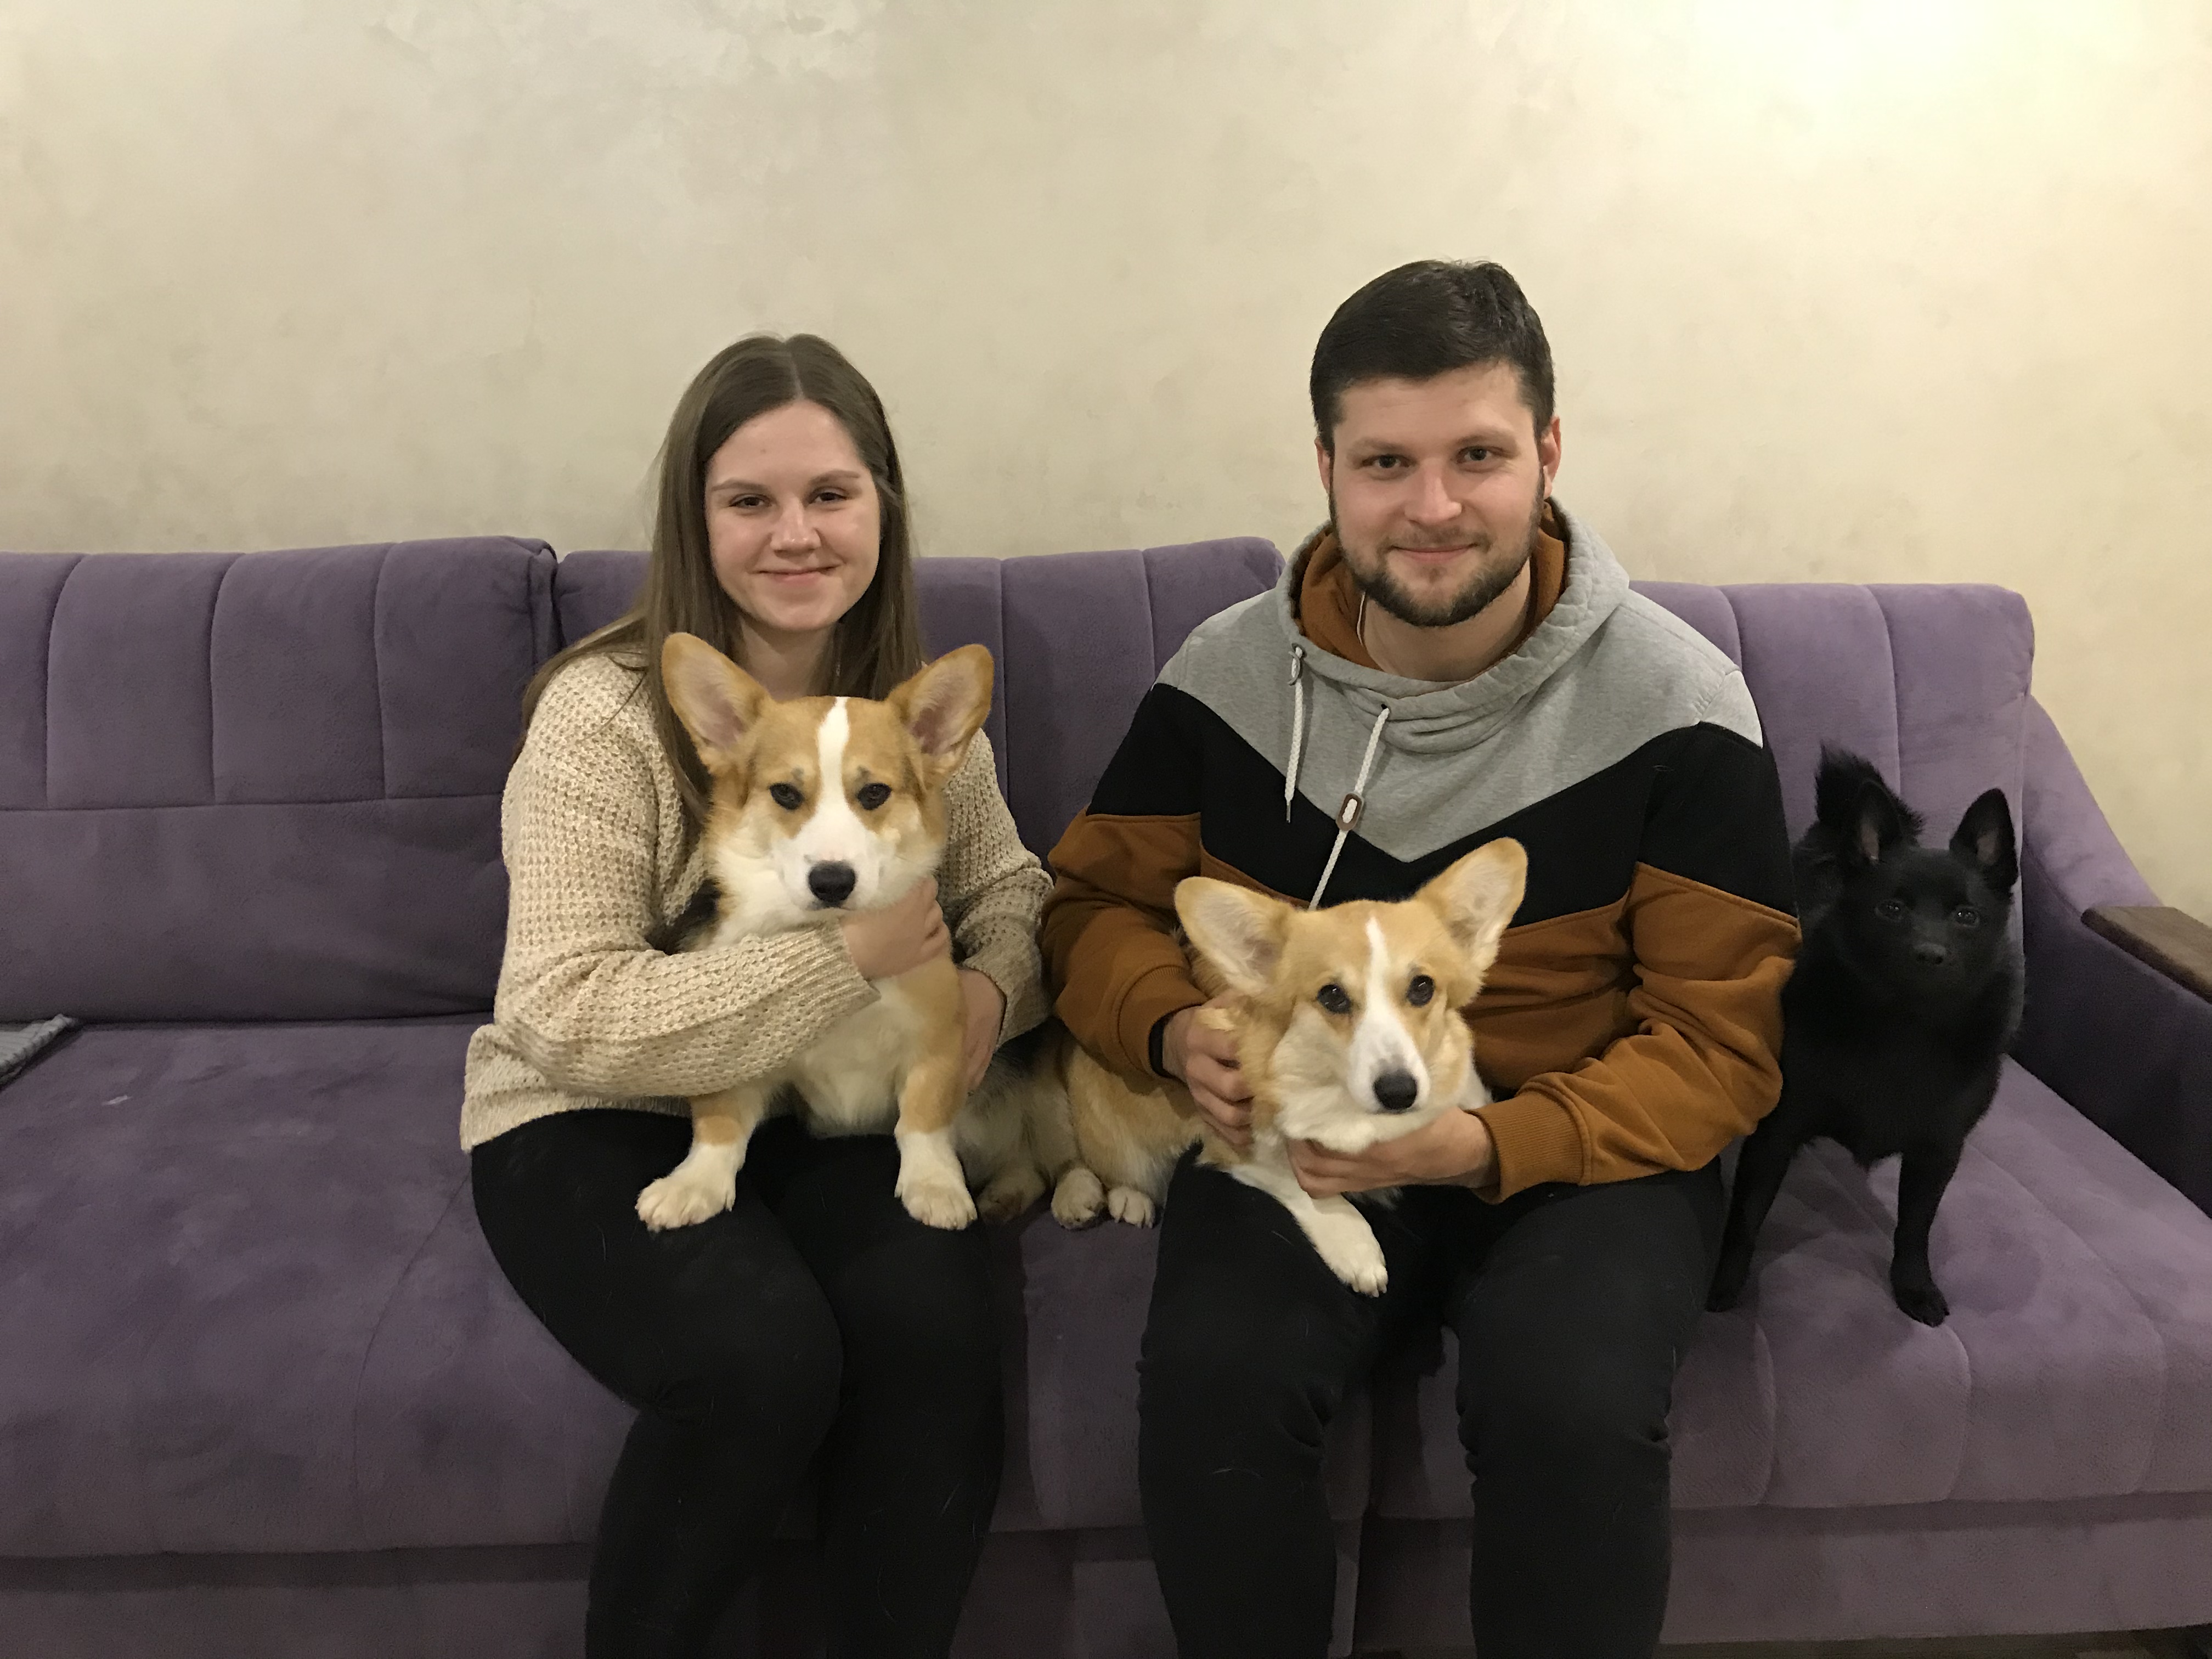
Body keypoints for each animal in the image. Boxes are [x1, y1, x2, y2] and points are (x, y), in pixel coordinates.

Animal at [634, 632, 1038, 1233]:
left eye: (874, 794)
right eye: (784, 793)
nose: (831, 882)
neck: (834, 934)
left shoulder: (939, 1043)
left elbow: (922, 1121)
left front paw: (935, 1186)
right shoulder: (741, 1058)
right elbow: (720, 1124)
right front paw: (693, 1185)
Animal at [1033, 839, 1527, 1295]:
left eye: (1422, 988)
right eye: (1332, 996)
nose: (1399, 1092)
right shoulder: (1231, 1142)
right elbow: (1303, 1185)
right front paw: (1357, 1249)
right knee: (1097, 1164)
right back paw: (1119, 1198)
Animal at [1708, 748, 2022, 1326]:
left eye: (1966, 916)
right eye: (1891, 909)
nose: (1929, 953)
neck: (1903, 1026)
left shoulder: (1937, 1152)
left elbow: (1915, 1226)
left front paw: (1914, 1286)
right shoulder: (1776, 1135)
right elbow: (1746, 1217)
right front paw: (1725, 1283)